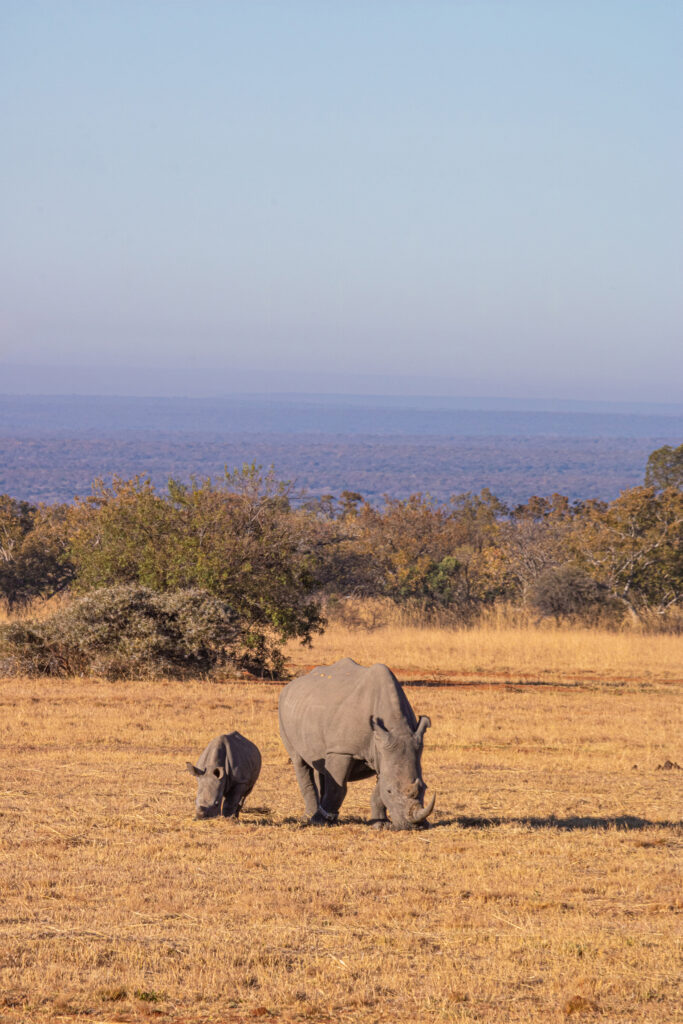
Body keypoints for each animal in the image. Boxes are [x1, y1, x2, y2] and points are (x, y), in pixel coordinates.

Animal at [278, 658, 434, 828]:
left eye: (425, 787)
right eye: (390, 791)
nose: (414, 826)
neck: (397, 727)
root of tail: (290, 685)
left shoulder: (383, 752)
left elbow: (378, 790)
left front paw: (380, 825)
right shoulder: (342, 750)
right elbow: (337, 789)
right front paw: (319, 822)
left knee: (320, 765)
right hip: (283, 709)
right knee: (299, 760)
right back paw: (310, 818)